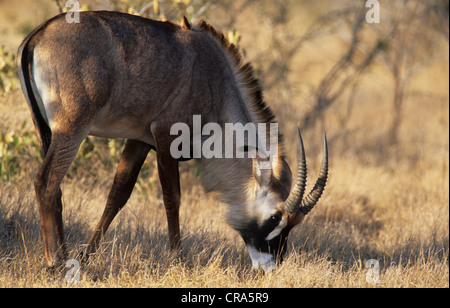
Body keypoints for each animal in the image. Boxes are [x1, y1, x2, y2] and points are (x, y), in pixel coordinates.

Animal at [18, 11, 326, 272]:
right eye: (275, 218)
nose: (270, 267)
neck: (216, 83)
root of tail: (38, 35)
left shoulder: (140, 139)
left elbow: (118, 194)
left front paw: (85, 256)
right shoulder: (167, 136)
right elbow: (172, 197)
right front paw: (178, 261)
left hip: (46, 129)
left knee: (56, 187)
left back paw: (66, 255)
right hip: (72, 127)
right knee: (46, 180)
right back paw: (55, 261)